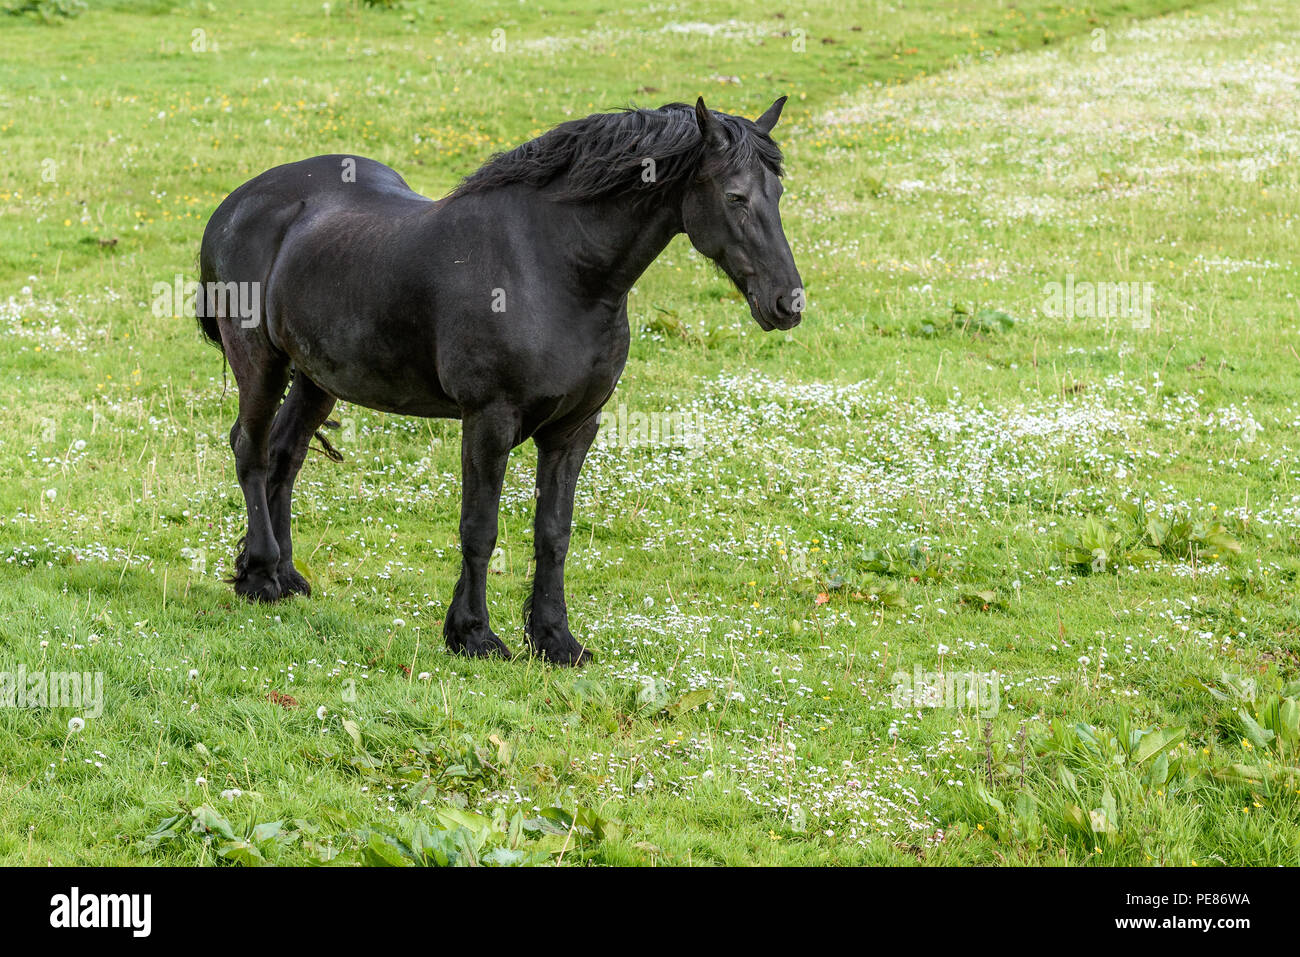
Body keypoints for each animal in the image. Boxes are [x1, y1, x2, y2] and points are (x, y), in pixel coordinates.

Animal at [196, 97, 803, 666]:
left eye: (777, 194)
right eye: (735, 197)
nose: (787, 303)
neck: (553, 270)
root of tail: (238, 203)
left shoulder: (575, 429)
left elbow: (553, 532)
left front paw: (555, 639)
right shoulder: (489, 420)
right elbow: (480, 527)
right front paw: (473, 634)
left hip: (317, 376)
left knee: (285, 455)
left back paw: (287, 577)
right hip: (260, 361)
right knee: (250, 450)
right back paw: (260, 576)